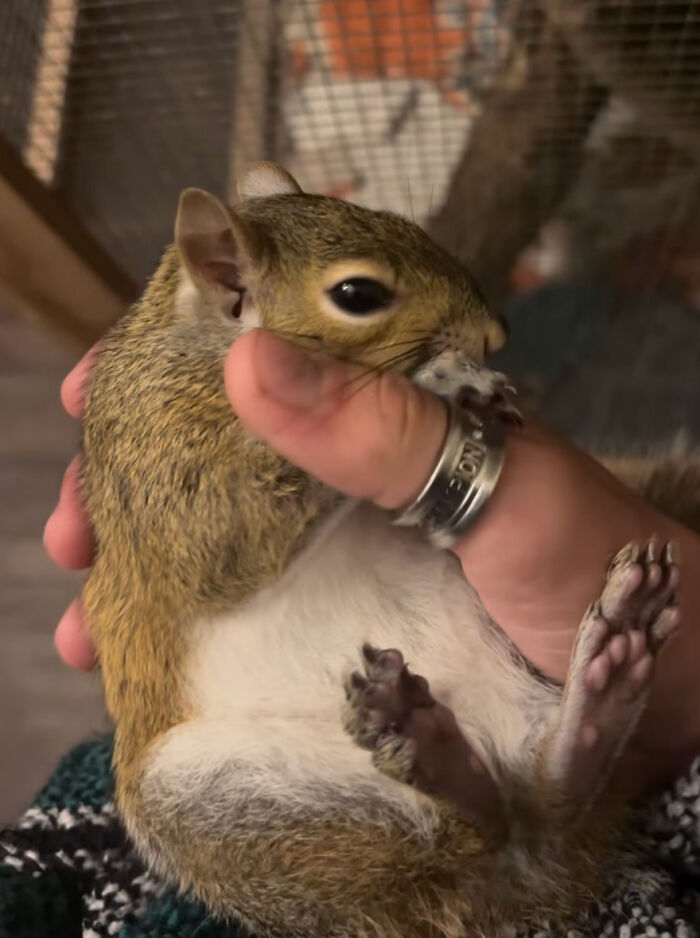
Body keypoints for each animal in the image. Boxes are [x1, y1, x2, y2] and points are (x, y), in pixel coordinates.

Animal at [82, 163, 684, 936]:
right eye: (357, 295)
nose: (495, 333)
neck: (202, 351)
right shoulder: (162, 477)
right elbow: (228, 541)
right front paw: (439, 379)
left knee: (542, 798)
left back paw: (598, 682)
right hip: (211, 808)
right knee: (476, 833)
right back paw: (435, 748)